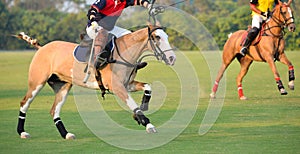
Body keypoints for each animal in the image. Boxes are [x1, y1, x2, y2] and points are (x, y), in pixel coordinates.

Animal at [14, 24, 176, 139]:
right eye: (157, 37)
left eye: (166, 36)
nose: (172, 58)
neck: (123, 55)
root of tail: (42, 48)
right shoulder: (117, 87)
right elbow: (132, 103)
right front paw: (147, 124)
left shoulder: (127, 85)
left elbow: (148, 87)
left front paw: (140, 113)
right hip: (37, 82)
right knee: (24, 103)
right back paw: (22, 132)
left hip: (63, 86)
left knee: (54, 110)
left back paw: (66, 134)